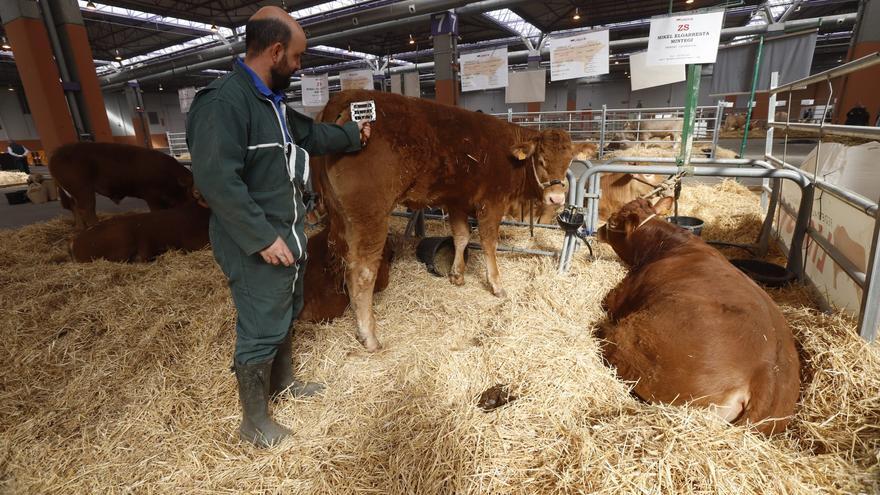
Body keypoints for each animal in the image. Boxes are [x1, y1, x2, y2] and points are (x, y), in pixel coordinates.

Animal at [50, 142, 194, 230]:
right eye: (190, 190)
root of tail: (56, 154)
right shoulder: (151, 196)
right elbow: (156, 210)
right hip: (83, 189)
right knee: (86, 209)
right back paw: (96, 226)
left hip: (74, 192)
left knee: (74, 207)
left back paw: (80, 228)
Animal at [312, 90, 596, 352]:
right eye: (541, 160)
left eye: (569, 161)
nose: (556, 197)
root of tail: (346, 95)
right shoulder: (491, 204)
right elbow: (489, 244)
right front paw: (497, 285)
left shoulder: (457, 201)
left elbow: (461, 236)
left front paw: (457, 274)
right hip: (370, 215)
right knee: (362, 272)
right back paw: (369, 336)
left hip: (341, 217)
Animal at [596, 196, 800, 436]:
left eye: (613, 220)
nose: (598, 230)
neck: (668, 245)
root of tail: (766, 375)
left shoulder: (618, 296)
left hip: (635, 344)